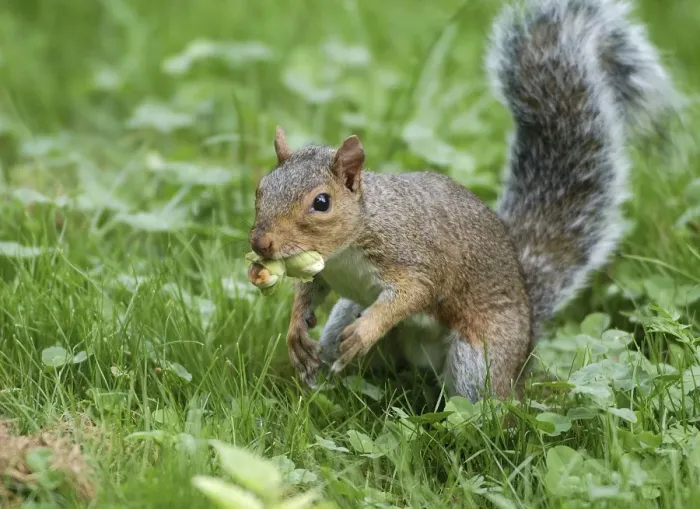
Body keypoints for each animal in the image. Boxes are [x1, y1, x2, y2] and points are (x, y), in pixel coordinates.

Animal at [248, 0, 677, 401]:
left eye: (322, 202)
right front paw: (296, 330)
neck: (352, 240)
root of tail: (526, 342)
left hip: (479, 358)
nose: (260, 243)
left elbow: (414, 294)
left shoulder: (414, 258)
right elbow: (308, 292)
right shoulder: (324, 271)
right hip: (349, 314)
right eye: (261, 188)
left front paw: (366, 331)